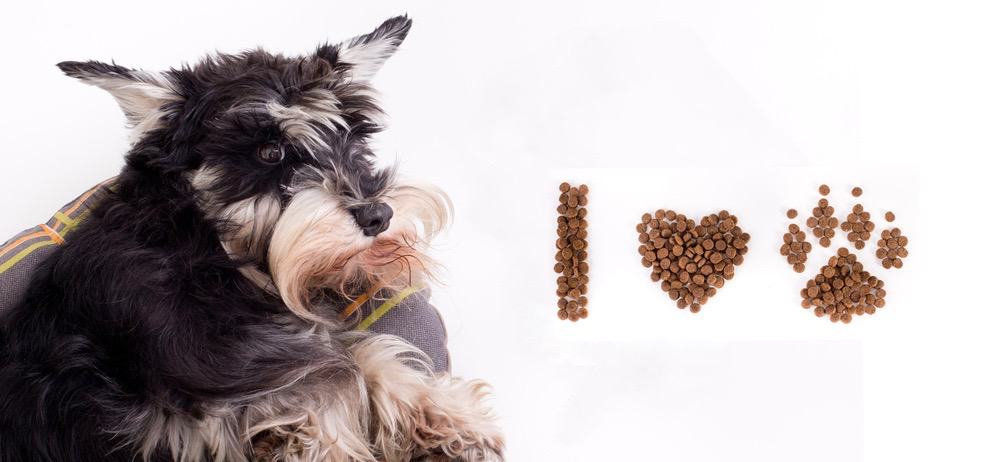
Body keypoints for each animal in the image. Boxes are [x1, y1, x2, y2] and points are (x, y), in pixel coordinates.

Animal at [0, 15, 500, 462]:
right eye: (269, 151)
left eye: (353, 138)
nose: (378, 214)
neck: (205, 248)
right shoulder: (215, 386)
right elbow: (336, 373)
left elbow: (359, 352)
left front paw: (450, 418)